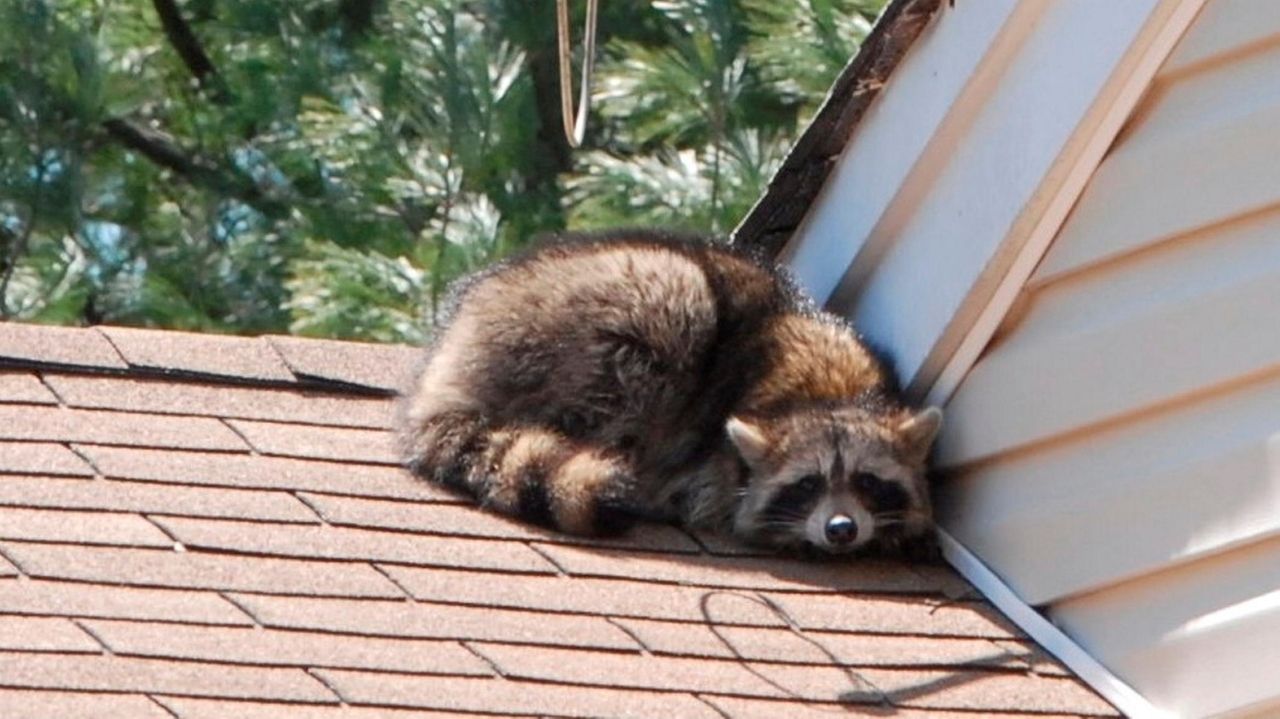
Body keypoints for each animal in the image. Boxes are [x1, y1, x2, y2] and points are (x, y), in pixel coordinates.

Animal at [399, 230, 942, 555]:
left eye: (869, 480)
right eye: (808, 483)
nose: (841, 530)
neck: (829, 397)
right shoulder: (715, 455)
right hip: (583, 327)